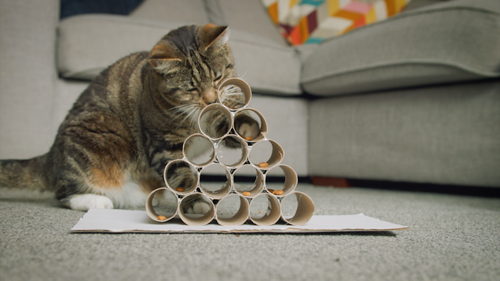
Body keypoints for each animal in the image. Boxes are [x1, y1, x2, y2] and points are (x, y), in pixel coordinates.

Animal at [0, 24, 258, 211]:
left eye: (217, 77)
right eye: (190, 88)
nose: (211, 99)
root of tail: (51, 154)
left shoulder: (219, 112)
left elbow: (228, 125)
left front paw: (247, 128)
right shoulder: (162, 143)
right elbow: (181, 175)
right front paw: (196, 204)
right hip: (99, 137)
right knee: (63, 192)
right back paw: (97, 201)